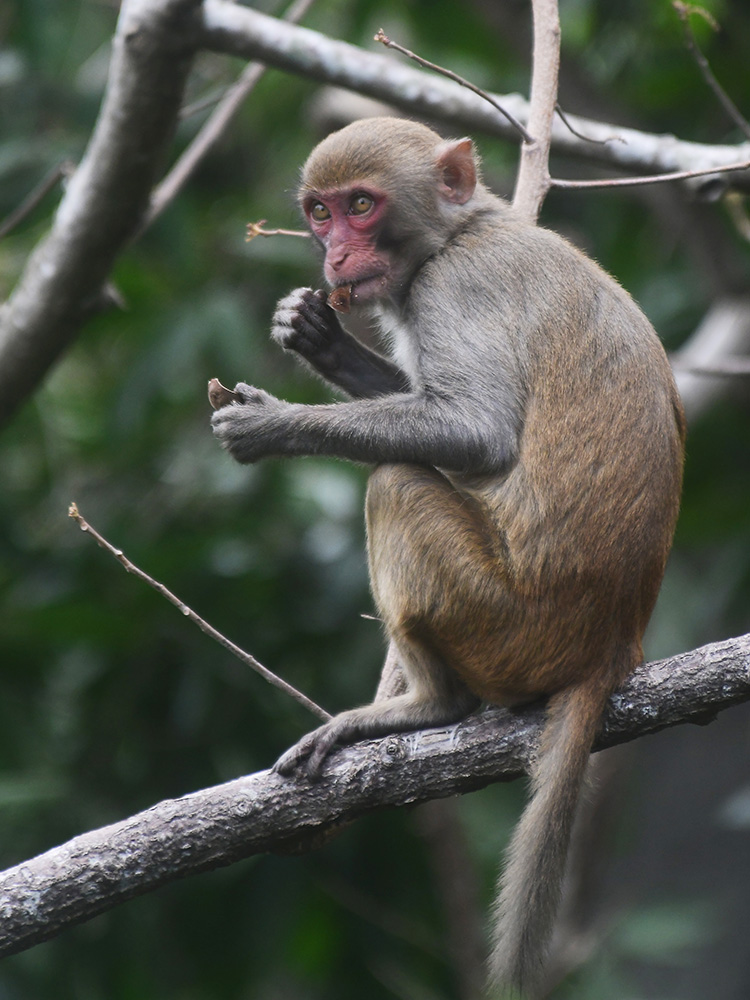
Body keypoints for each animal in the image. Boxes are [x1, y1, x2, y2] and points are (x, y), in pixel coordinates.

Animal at [211, 117, 685, 998]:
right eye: (320, 211)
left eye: (363, 206)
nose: (335, 255)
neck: (460, 232)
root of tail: (613, 644)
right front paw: (320, 340)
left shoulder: (456, 290)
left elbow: (476, 430)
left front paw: (276, 423)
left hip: (500, 621)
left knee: (396, 482)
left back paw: (429, 706)